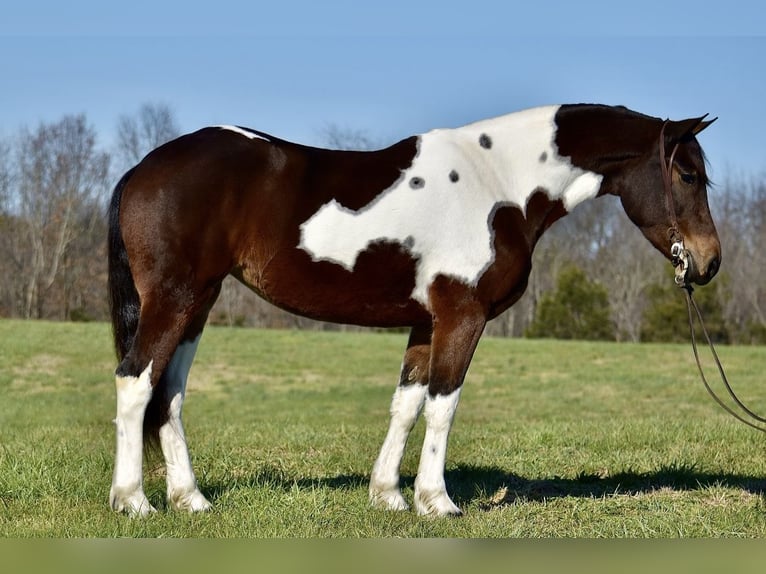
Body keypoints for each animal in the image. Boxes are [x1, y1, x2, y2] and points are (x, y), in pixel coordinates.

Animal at [106, 102, 720, 516]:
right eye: (688, 174)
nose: (709, 262)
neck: (499, 184)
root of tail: (142, 169)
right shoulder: (462, 318)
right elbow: (442, 405)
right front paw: (436, 501)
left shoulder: (425, 323)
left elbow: (406, 404)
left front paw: (388, 496)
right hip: (175, 299)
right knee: (136, 383)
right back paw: (133, 501)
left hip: (198, 303)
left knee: (169, 393)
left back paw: (190, 499)